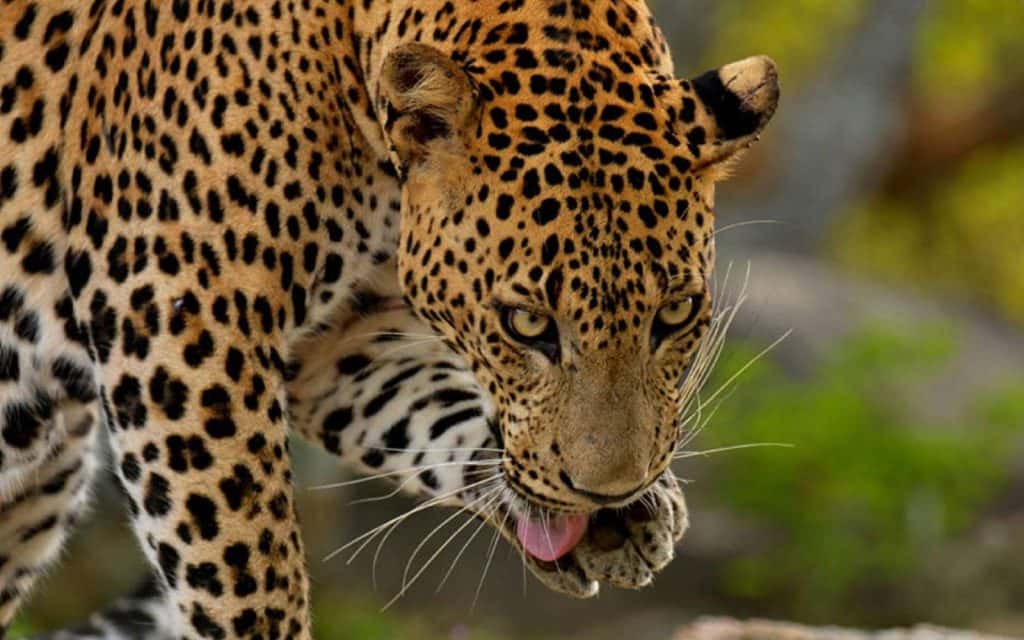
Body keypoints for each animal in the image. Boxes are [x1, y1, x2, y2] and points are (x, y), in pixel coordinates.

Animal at [0, 0, 779, 637]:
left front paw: (622, 518)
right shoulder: (173, 312)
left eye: (676, 312)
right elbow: (246, 565)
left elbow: (433, 414)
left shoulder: (339, 341)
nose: (609, 493)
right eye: (526, 324)